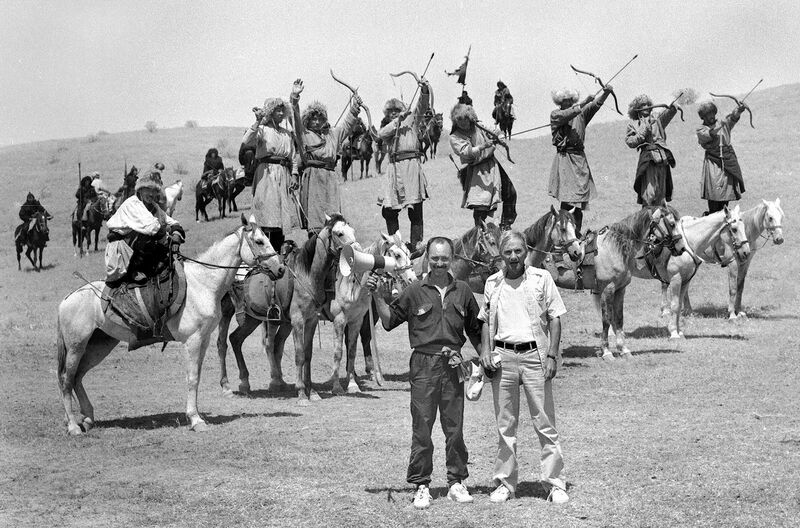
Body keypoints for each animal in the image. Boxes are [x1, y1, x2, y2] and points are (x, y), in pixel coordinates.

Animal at [54, 212, 284, 436]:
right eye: (259, 241)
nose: (280, 268)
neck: (203, 283)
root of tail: (66, 300)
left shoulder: (204, 340)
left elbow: (196, 376)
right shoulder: (192, 340)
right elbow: (192, 378)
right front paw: (196, 420)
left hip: (99, 345)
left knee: (77, 377)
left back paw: (87, 418)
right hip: (76, 346)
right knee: (66, 379)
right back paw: (73, 426)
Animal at [330, 233, 418, 394]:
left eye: (409, 253)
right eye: (397, 255)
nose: (412, 279)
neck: (350, 284)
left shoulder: (356, 319)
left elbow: (352, 350)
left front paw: (352, 384)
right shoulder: (339, 320)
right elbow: (338, 352)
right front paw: (337, 387)